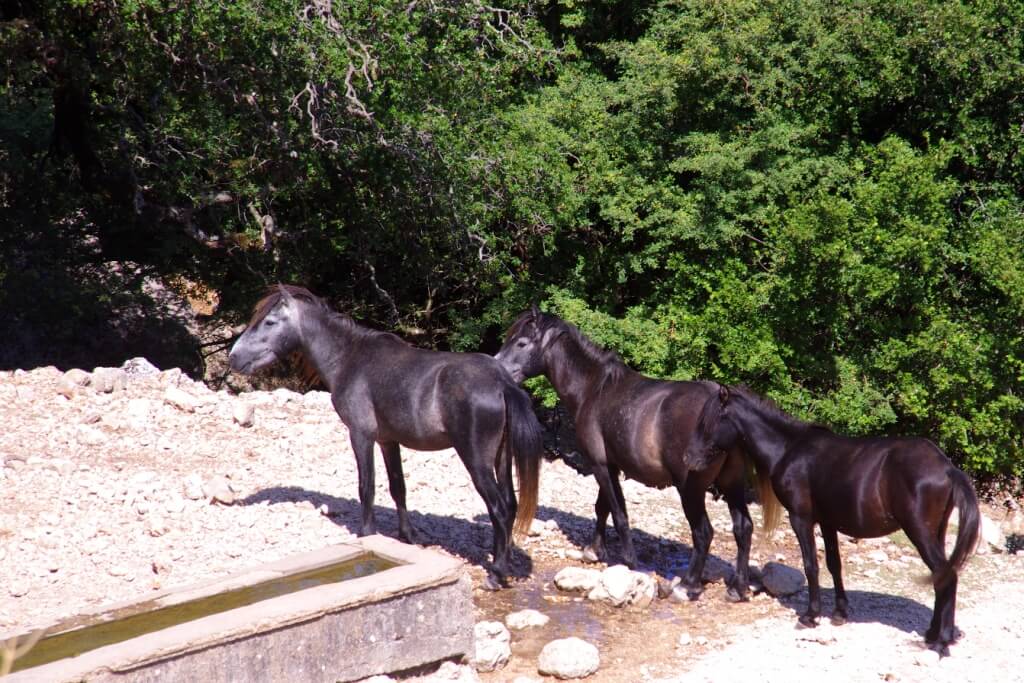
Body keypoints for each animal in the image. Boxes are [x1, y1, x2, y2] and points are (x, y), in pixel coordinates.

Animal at [226, 286, 544, 589]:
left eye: (269, 322)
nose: (234, 357)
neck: (350, 359)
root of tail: (501, 382)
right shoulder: (389, 441)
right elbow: (397, 487)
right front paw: (408, 535)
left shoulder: (361, 434)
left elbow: (367, 487)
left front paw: (368, 535)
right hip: (502, 457)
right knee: (509, 505)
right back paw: (502, 561)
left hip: (476, 460)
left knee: (499, 509)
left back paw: (497, 573)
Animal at [495, 307, 774, 602]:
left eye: (521, 343)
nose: (497, 367)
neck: (594, 389)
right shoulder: (610, 465)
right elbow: (602, 507)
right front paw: (594, 551)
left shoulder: (600, 465)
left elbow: (619, 513)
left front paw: (629, 561)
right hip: (732, 483)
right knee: (743, 528)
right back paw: (738, 588)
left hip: (691, 489)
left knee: (703, 533)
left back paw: (687, 586)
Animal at [684, 382, 978, 655]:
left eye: (710, 420)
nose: (688, 458)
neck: (788, 449)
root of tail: (948, 468)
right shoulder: (827, 522)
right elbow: (834, 564)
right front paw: (839, 613)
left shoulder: (801, 519)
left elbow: (811, 565)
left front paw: (810, 616)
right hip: (936, 533)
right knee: (943, 575)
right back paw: (933, 634)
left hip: (920, 532)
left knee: (946, 576)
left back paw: (940, 641)